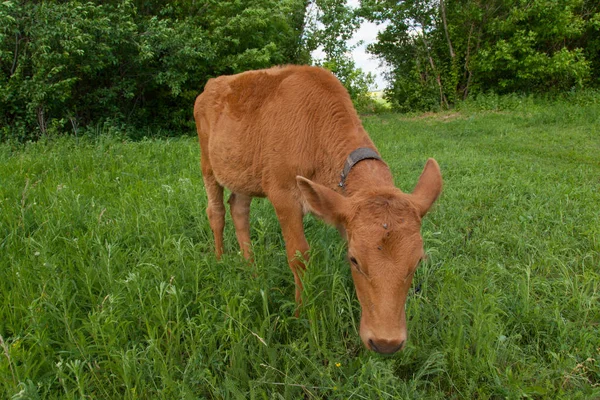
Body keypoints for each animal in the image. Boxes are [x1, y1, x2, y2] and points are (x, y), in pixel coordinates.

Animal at [195, 66, 442, 356]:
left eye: (418, 261)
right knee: (216, 211)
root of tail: (211, 84)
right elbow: (299, 255)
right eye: (354, 259)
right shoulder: (282, 191)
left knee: (238, 208)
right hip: (207, 160)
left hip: (243, 171)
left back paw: (251, 268)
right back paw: (221, 260)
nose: (386, 343)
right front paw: (300, 314)